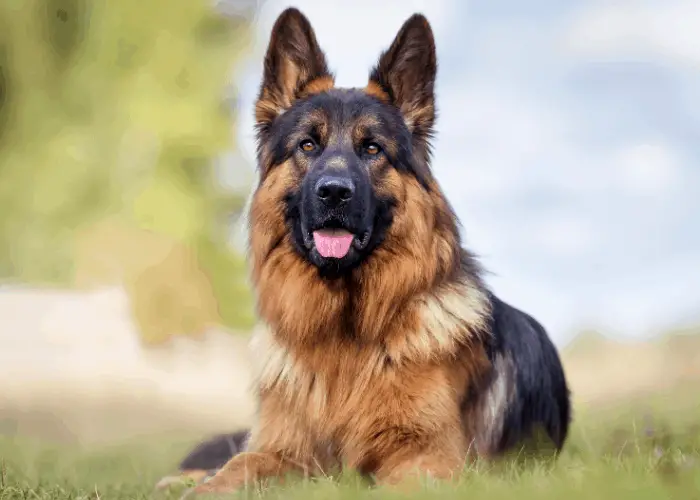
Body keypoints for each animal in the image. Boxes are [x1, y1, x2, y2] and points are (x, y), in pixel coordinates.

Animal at [168, 5, 568, 494]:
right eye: (308, 144)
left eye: (372, 148)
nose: (334, 192)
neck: (344, 338)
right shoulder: (282, 450)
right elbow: (234, 468)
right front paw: (201, 487)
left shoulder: (428, 458)